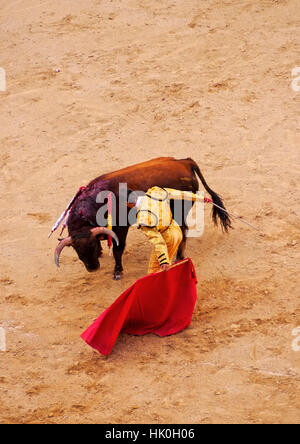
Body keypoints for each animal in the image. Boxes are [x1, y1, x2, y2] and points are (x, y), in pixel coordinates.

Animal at [52, 158, 231, 280]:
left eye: (92, 247)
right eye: (77, 250)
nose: (93, 268)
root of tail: (184, 162)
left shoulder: (121, 229)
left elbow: (117, 250)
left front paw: (117, 271)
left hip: (181, 209)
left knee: (183, 230)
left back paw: (179, 257)